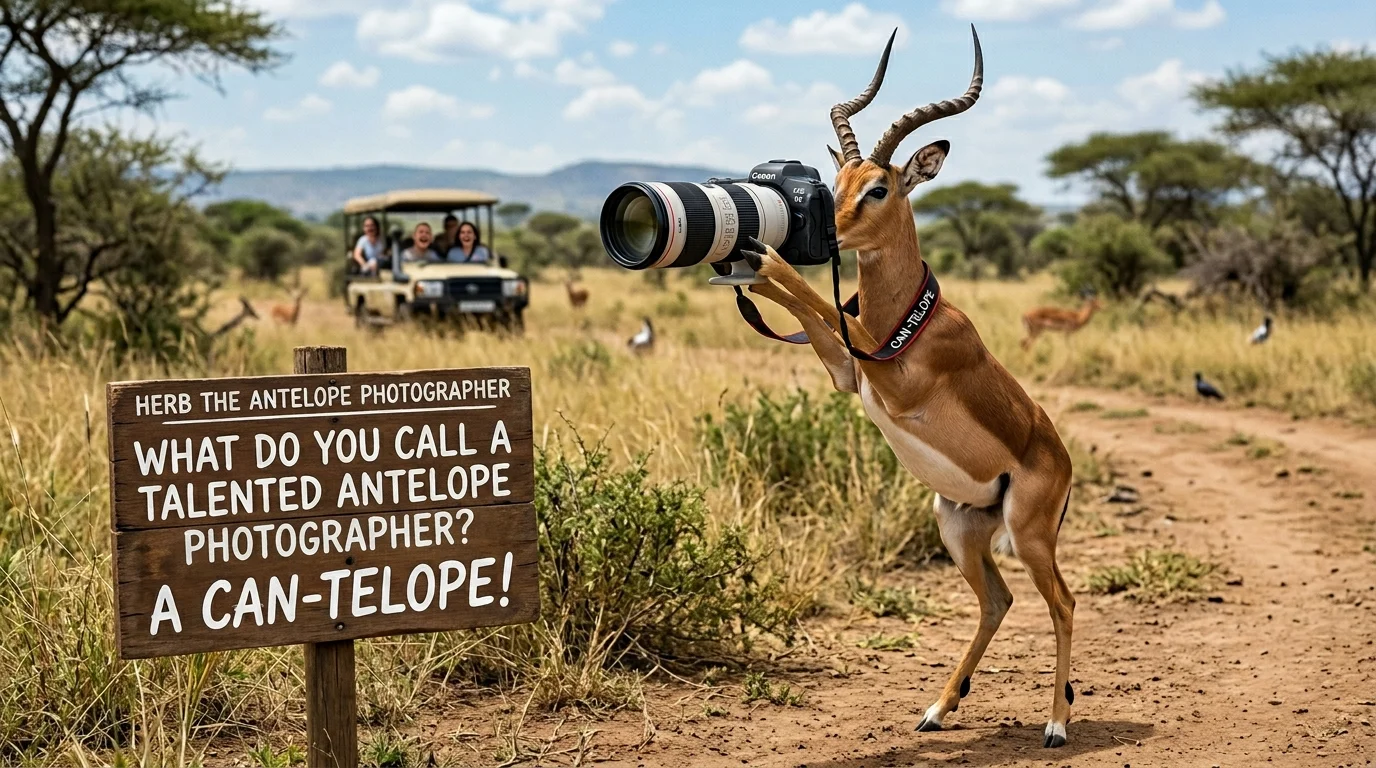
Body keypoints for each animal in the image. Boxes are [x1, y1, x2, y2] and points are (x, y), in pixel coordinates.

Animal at [738, 27, 1077, 748]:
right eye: (834, 182)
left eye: (879, 189)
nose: (828, 231)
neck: (909, 318)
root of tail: (1064, 464)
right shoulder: (851, 372)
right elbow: (819, 318)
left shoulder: (890, 378)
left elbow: (817, 298)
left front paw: (764, 254)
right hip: (958, 526)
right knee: (998, 601)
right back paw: (936, 710)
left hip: (1031, 536)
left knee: (1062, 601)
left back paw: (1057, 724)